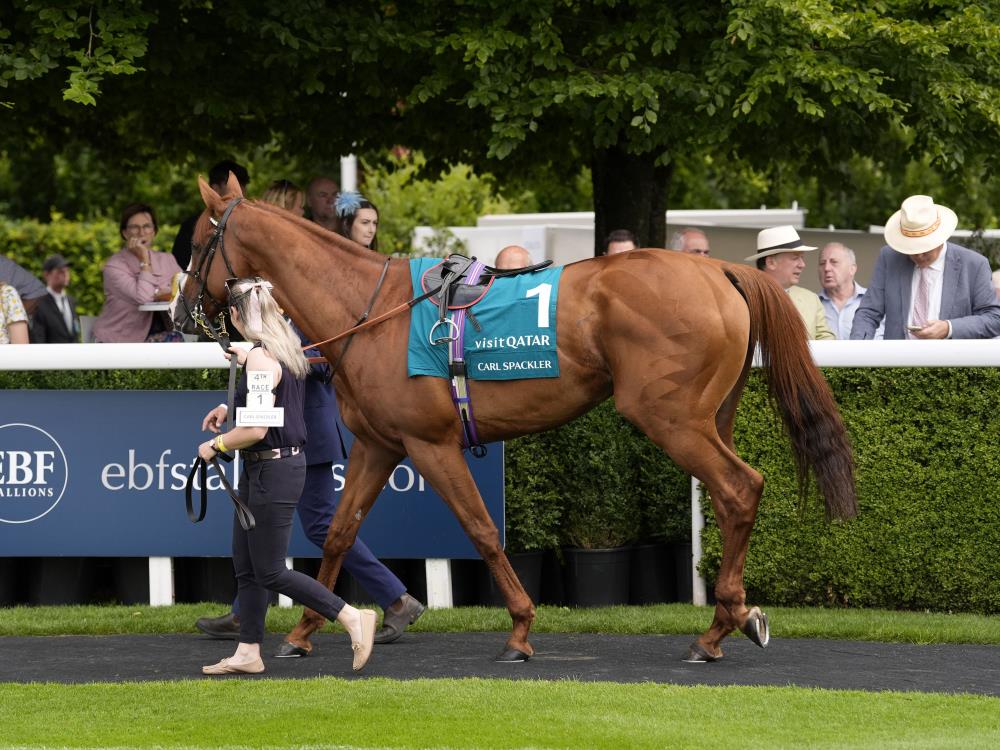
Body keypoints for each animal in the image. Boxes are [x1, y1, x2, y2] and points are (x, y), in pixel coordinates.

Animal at [175, 173, 856, 663]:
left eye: (199, 239)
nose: (181, 313)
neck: (371, 312)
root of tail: (720, 268)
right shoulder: (378, 444)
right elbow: (340, 533)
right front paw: (306, 631)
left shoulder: (430, 443)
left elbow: (481, 529)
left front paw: (521, 630)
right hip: (713, 415)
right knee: (730, 495)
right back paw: (736, 617)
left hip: (670, 418)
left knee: (741, 488)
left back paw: (716, 631)